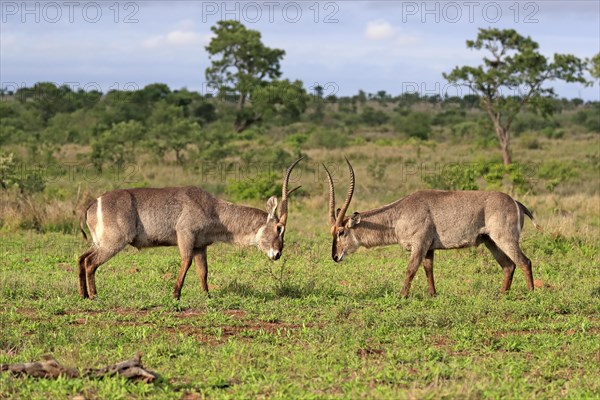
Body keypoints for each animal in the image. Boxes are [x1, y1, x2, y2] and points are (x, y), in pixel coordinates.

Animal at [78, 158, 304, 298]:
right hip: (113, 242)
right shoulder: (185, 235)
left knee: (81, 258)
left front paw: (207, 295)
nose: (277, 254)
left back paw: (84, 295)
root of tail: (93, 202)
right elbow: (186, 262)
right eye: (279, 228)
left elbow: (203, 271)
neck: (214, 209)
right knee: (90, 263)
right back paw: (94, 295)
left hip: (100, 242)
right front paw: (176, 294)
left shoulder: (200, 245)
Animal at [326, 159, 540, 296]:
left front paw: (402, 295)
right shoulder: (428, 248)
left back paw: (530, 294)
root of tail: (516, 202)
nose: (335, 257)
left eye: (342, 232)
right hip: (491, 242)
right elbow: (428, 269)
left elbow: (411, 269)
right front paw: (432, 294)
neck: (398, 213)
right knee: (509, 265)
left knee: (524, 262)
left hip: (505, 239)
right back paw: (502, 294)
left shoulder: (419, 244)